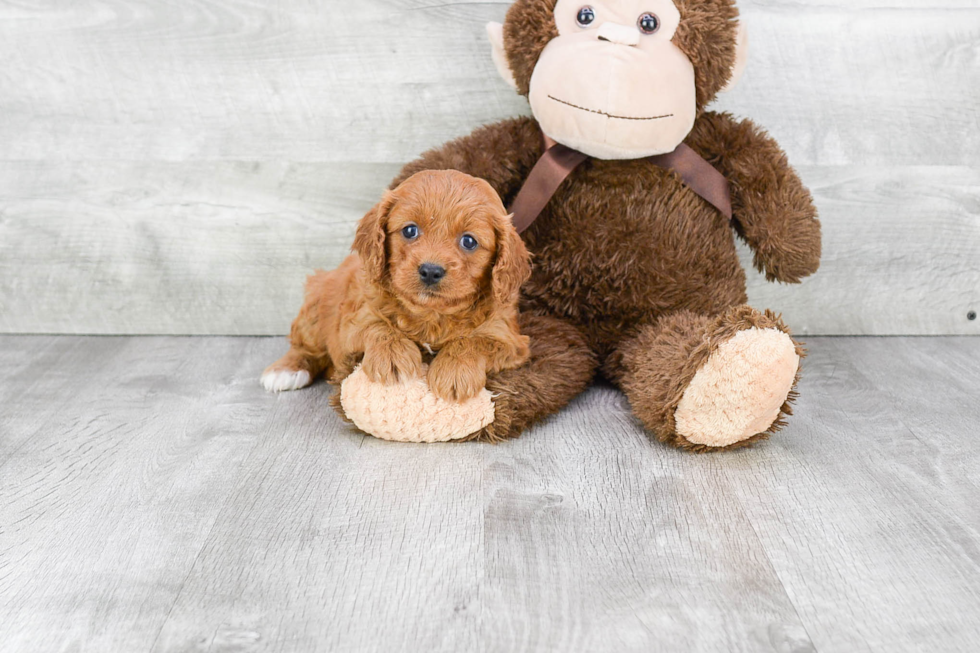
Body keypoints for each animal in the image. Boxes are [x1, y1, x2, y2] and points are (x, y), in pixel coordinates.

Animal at [262, 168, 528, 402]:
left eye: (469, 241)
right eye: (410, 230)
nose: (431, 271)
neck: (431, 314)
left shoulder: (508, 337)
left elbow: (474, 341)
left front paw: (454, 372)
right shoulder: (353, 320)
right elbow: (377, 326)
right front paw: (392, 355)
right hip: (315, 308)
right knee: (304, 346)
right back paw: (285, 371)